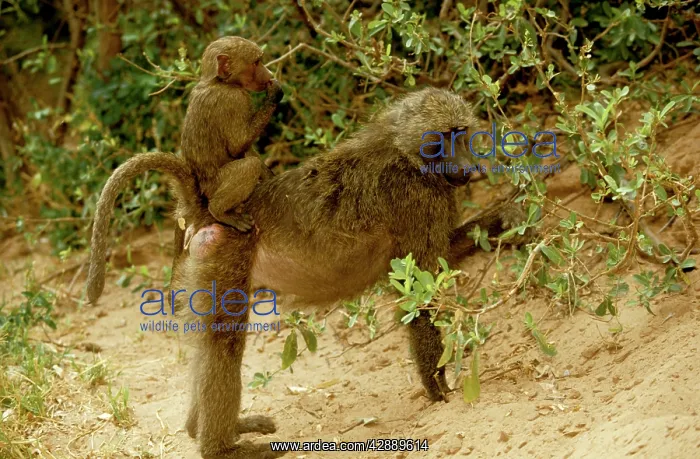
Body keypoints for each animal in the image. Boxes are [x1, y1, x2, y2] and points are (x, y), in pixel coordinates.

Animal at [86, 36, 282, 305]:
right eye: (256, 62)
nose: (269, 74)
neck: (215, 81)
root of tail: (199, 197)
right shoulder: (234, 99)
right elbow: (238, 144)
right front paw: (275, 94)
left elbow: (246, 150)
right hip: (215, 187)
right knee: (247, 167)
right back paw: (222, 211)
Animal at [169, 88, 530, 458]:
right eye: (443, 136)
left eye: (461, 133)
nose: (468, 168)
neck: (405, 151)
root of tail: (207, 210)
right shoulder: (416, 196)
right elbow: (418, 288)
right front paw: (438, 387)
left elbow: (439, 261)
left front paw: (506, 219)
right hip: (228, 248)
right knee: (224, 342)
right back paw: (220, 449)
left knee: (208, 341)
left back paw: (202, 427)